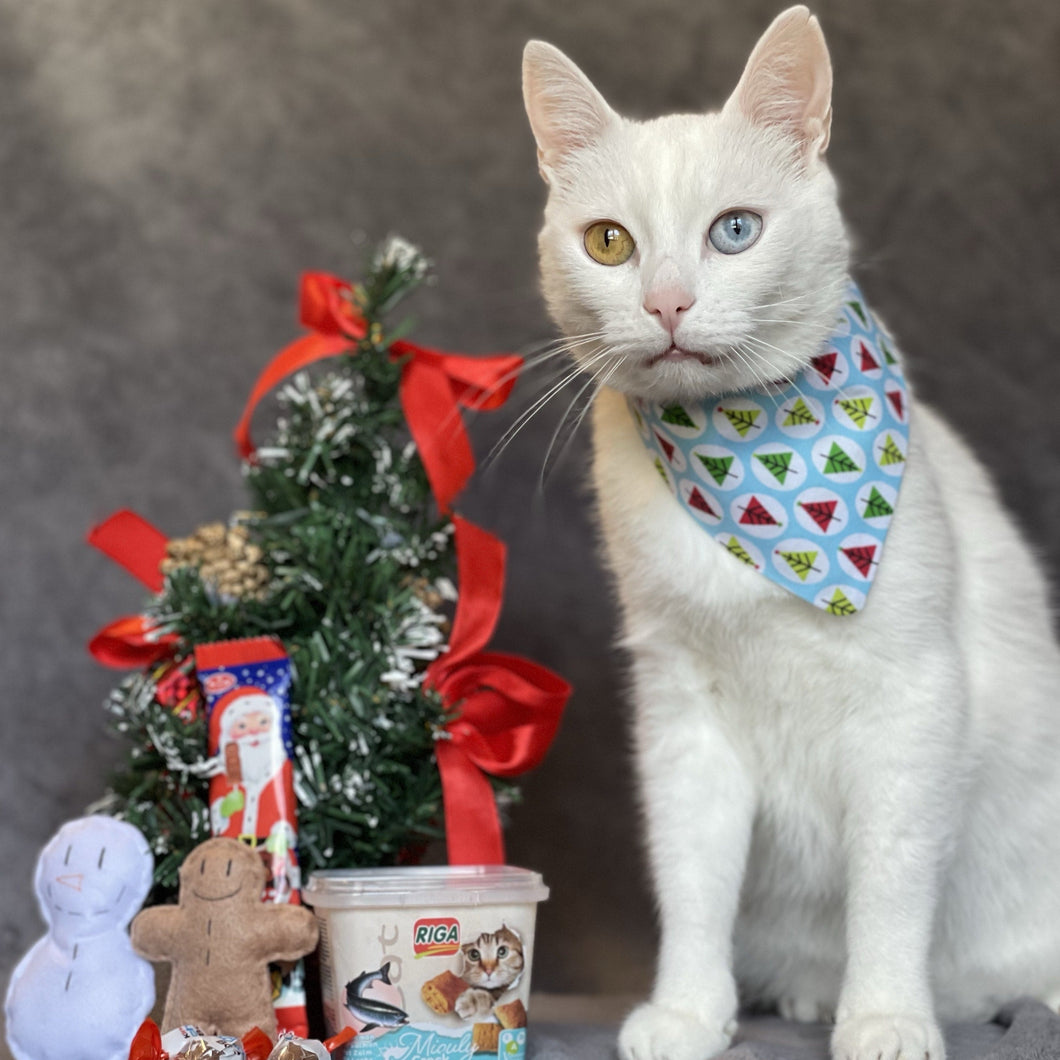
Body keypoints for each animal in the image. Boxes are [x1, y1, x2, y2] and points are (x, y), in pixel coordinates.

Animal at [525, 8, 1060, 1060]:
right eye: (608, 242)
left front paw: (887, 1016)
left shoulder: (913, 704)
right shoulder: (683, 716)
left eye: (735, 231)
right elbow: (693, 884)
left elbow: (890, 884)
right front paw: (689, 1013)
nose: (668, 302)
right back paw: (810, 993)